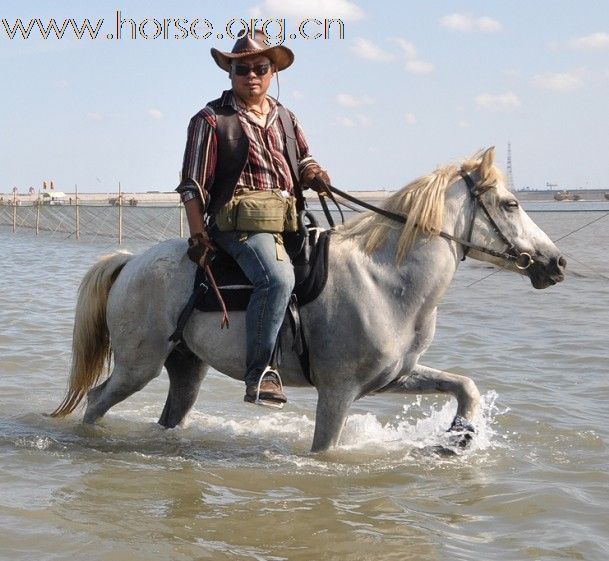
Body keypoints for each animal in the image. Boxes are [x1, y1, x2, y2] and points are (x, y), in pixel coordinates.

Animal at [51, 148, 564, 450]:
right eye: (511, 204)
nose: (555, 262)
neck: (386, 281)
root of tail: (130, 262)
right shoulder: (337, 393)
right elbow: (325, 453)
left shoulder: (392, 377)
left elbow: (464, 385)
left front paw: (460, 435)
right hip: (138, 366)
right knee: (95, 400)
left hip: (186, 368)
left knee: (168, 413)